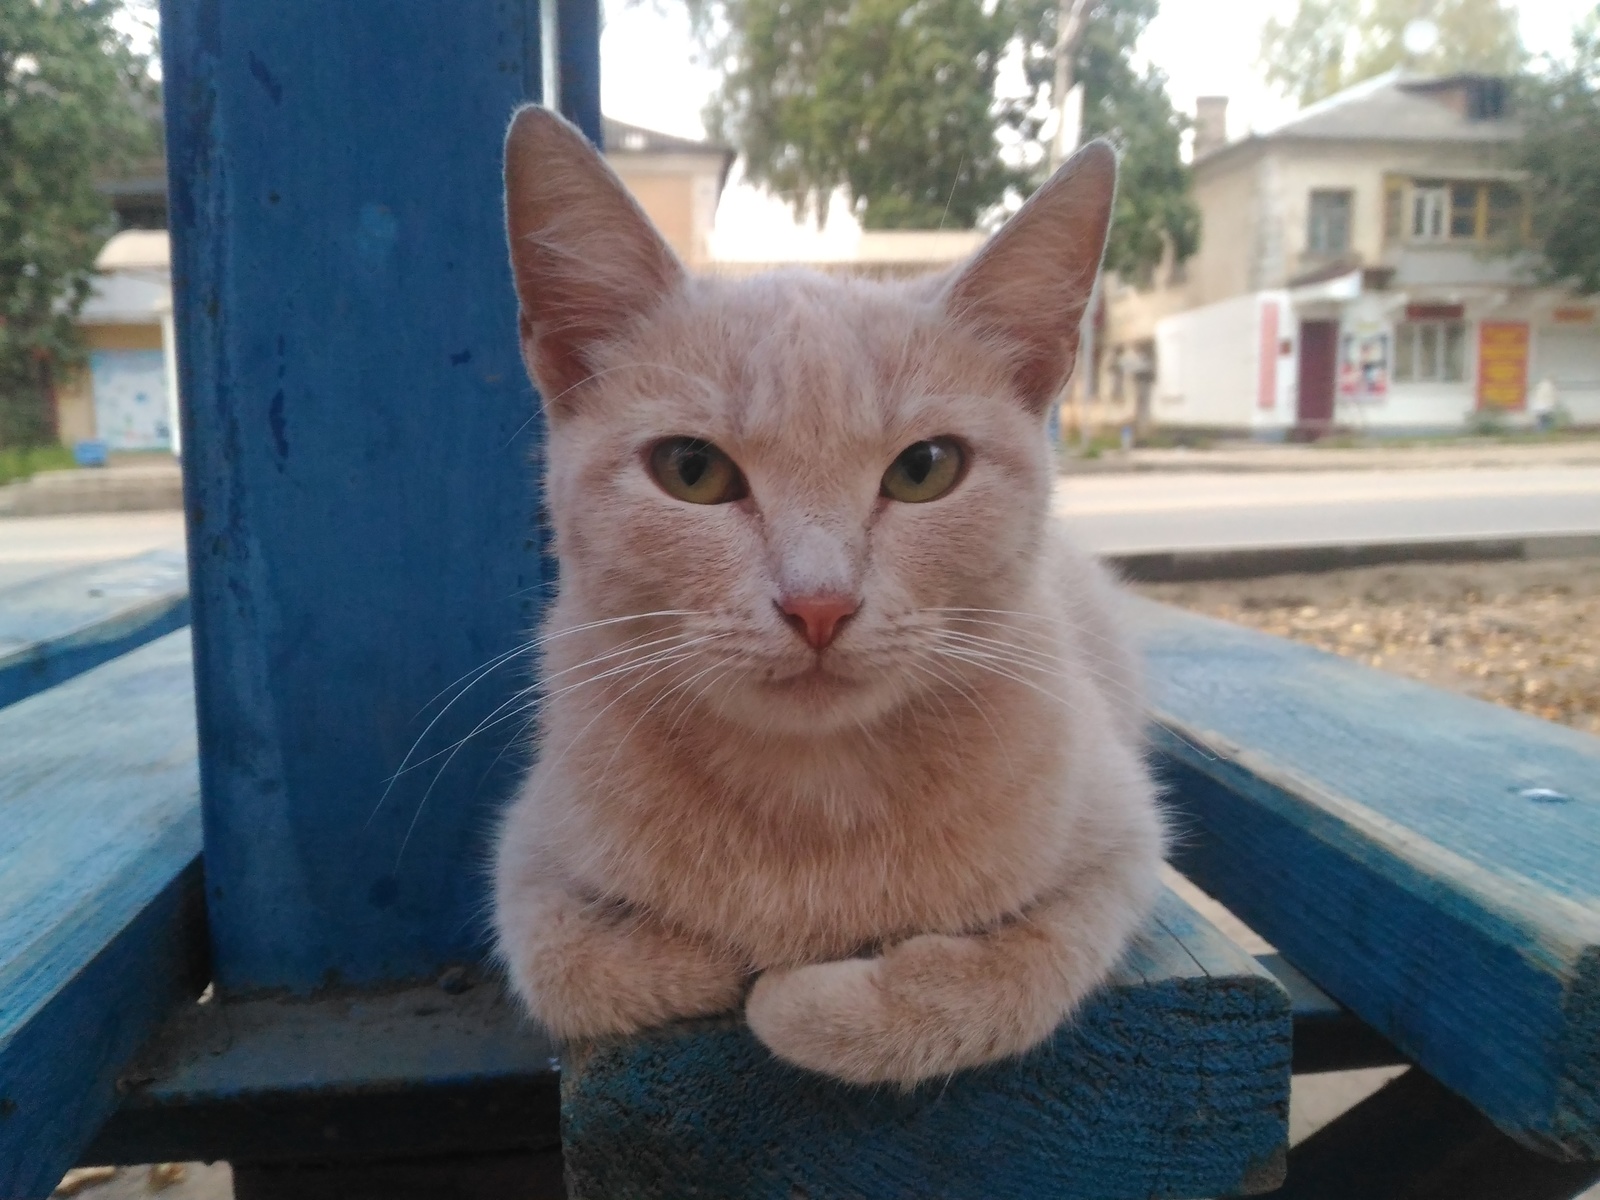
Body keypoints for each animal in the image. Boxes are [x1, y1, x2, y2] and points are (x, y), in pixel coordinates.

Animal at [489, 108, 1164, 1094]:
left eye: (925, 470)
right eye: (691, 470)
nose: (819, 604)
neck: (813, 801)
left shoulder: (1124, 849)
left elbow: (1009, 976)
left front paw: (807, 1000)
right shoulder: (526, 855)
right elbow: (567, 962)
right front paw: (703, 961)